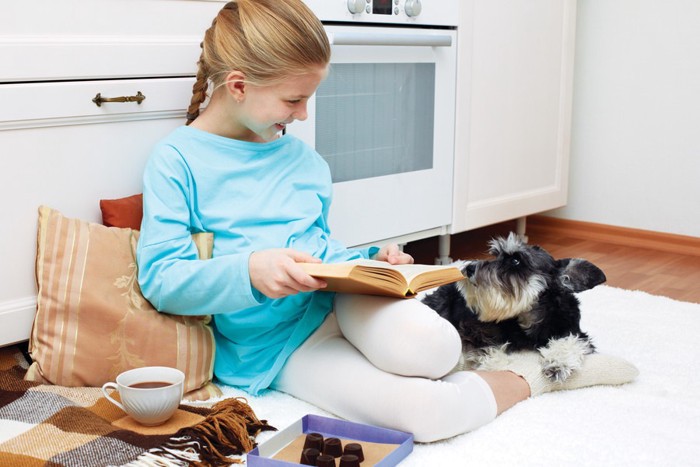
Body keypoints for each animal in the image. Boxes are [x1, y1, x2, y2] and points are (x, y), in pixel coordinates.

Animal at [422, 234, 608, 384]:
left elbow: (571, 341)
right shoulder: (471, 329)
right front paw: (494, 365)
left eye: (516, 260)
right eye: (496, 255)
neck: (529, 317)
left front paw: (558, 364)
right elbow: (487, 347)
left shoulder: (575, 332)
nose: (468, 268)